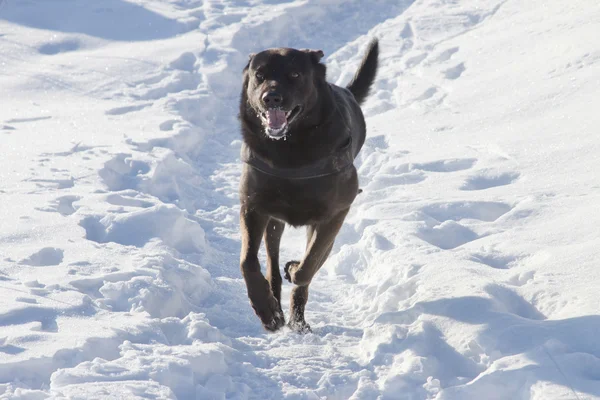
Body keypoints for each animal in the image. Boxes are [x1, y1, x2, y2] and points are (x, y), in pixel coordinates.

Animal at [237, 38, 378, 332]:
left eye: (294, 74)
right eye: (259, 75)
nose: (271, 98)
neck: (290, 148)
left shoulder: (334, 215)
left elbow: (308, 265)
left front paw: (294, 269)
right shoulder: (253, 205)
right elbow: (248, 262)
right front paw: (266, 310)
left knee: (309, 268)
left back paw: (298, 320)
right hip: (274, 223)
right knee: (272, 264)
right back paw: (277, 307)